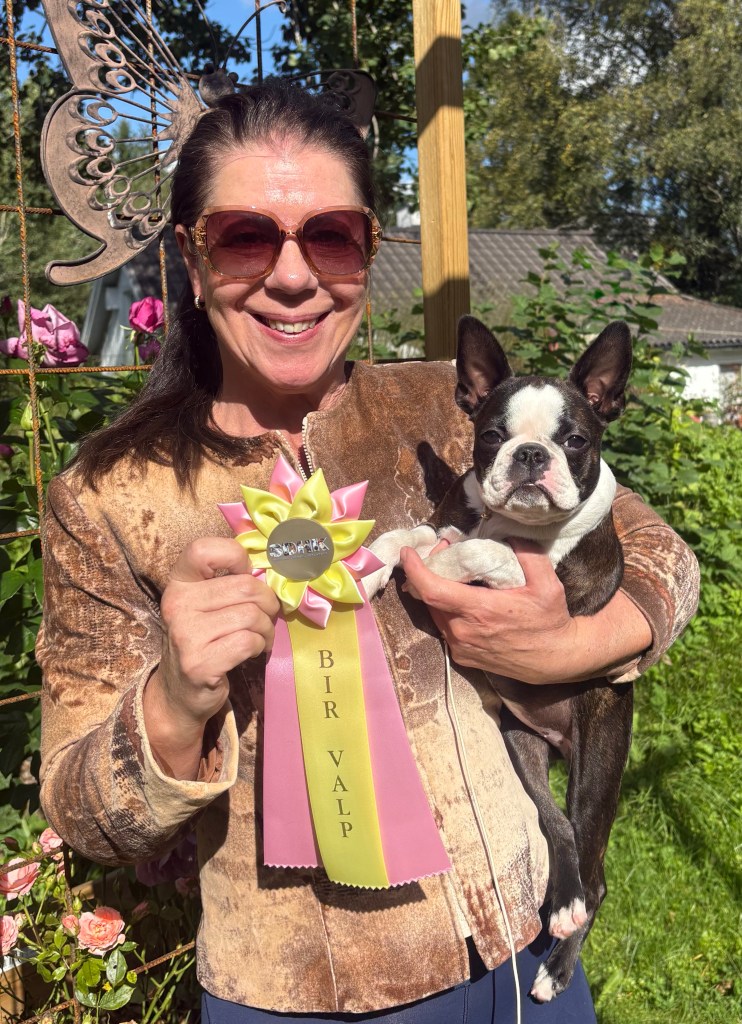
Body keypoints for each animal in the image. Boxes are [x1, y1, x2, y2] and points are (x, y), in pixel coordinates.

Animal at [365, 316, 634, 1002]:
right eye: (491, 436)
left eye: (575, 440)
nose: (532, 455)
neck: (506, 519)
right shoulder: (449, 520)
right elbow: (412, 534)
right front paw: (370, 564)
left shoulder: (550, 588)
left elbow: (484, 553)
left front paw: (440, 570)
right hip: (521, 746)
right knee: (556, 825)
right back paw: (561, 901)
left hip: (600, 758)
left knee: (597, 873)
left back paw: (556, 965)